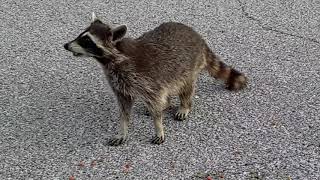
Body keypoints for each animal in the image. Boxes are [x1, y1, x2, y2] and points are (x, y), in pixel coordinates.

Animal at [62, 13, 248, 146]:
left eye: (87, 40)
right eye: (81, 35)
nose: (65, 45)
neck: (112, 59)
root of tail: (199, 38)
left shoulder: (146, 78)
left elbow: (155, 106)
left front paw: (158, 127)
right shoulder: (120, 84)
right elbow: (124, 110)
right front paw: (123, 130)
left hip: (188, 66)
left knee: (186, 88)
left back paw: (184, 105)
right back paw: (166, 103)